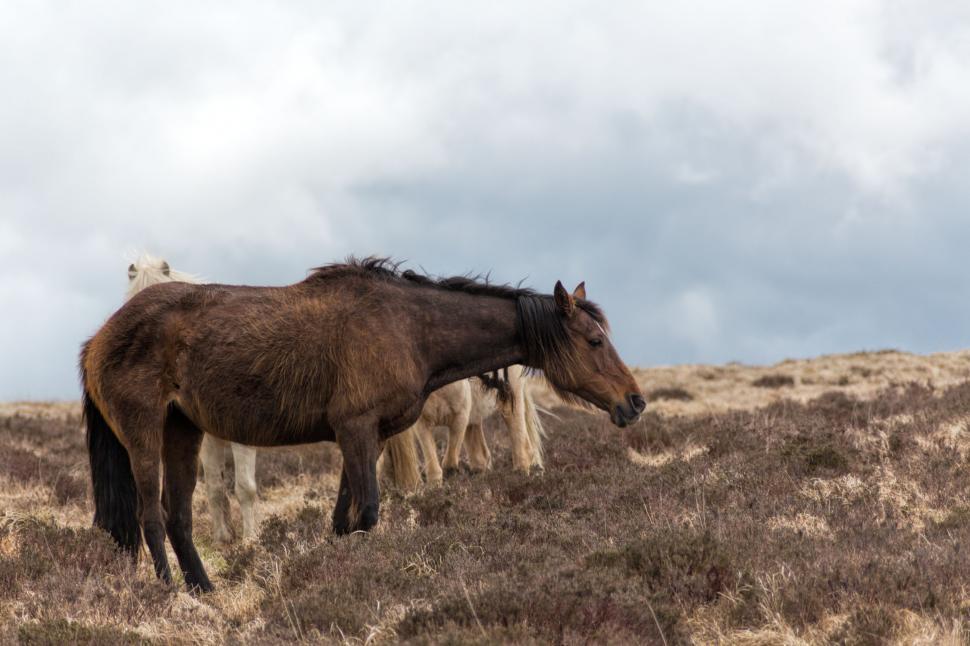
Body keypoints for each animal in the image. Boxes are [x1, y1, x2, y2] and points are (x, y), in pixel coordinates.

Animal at [380, 365, 545, 491]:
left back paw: (520, 478)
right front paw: (435, 492)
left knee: (520, 442)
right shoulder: (423, 425)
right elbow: (433, 466)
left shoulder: (461, 416)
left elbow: (449, 463)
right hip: (475, 417)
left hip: (510, 397)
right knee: (480, 456)